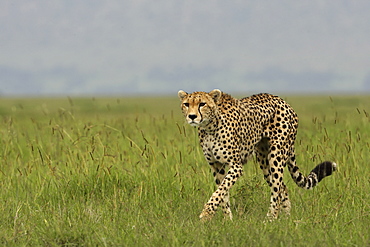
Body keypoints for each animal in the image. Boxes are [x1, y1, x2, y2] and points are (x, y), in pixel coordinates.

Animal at [178, 89, 336, 221]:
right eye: (186, 104)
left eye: (202, 104)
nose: (192, 116)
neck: (209, 126)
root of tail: (283, 102)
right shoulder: (216, 166)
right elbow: (222, 193)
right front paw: (227, 219)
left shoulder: (236, 166)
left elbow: (220, 191)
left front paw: (206, 213)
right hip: (263, 158)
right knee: (282, 187)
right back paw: (286, 218)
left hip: (276, 155)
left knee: (277, 188)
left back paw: (271, 218)